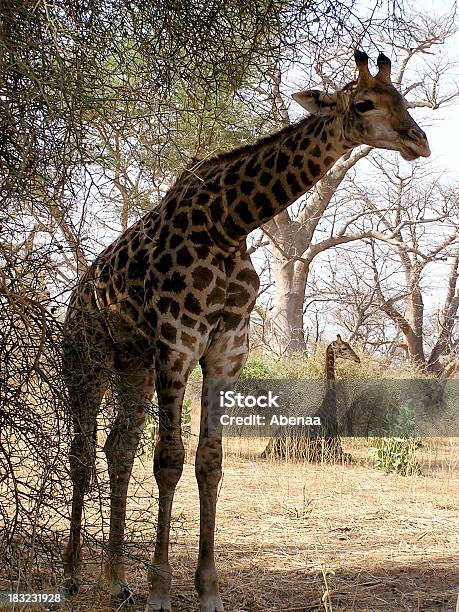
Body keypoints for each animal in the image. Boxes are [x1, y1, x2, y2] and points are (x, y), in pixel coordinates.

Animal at [63, 50, 434, 608]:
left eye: (404, 99)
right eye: (365, 103)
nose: (419, 141)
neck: (228, 221)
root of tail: (75, 300)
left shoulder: (223, 352)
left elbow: (209, 463)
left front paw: (208, 590)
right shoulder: (178, 343)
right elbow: (169, 459)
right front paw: (161, 590)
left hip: (133, 368)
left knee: (118, 449)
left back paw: (115, 580)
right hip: (88, 363)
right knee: (83, 454)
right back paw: (71, 577)